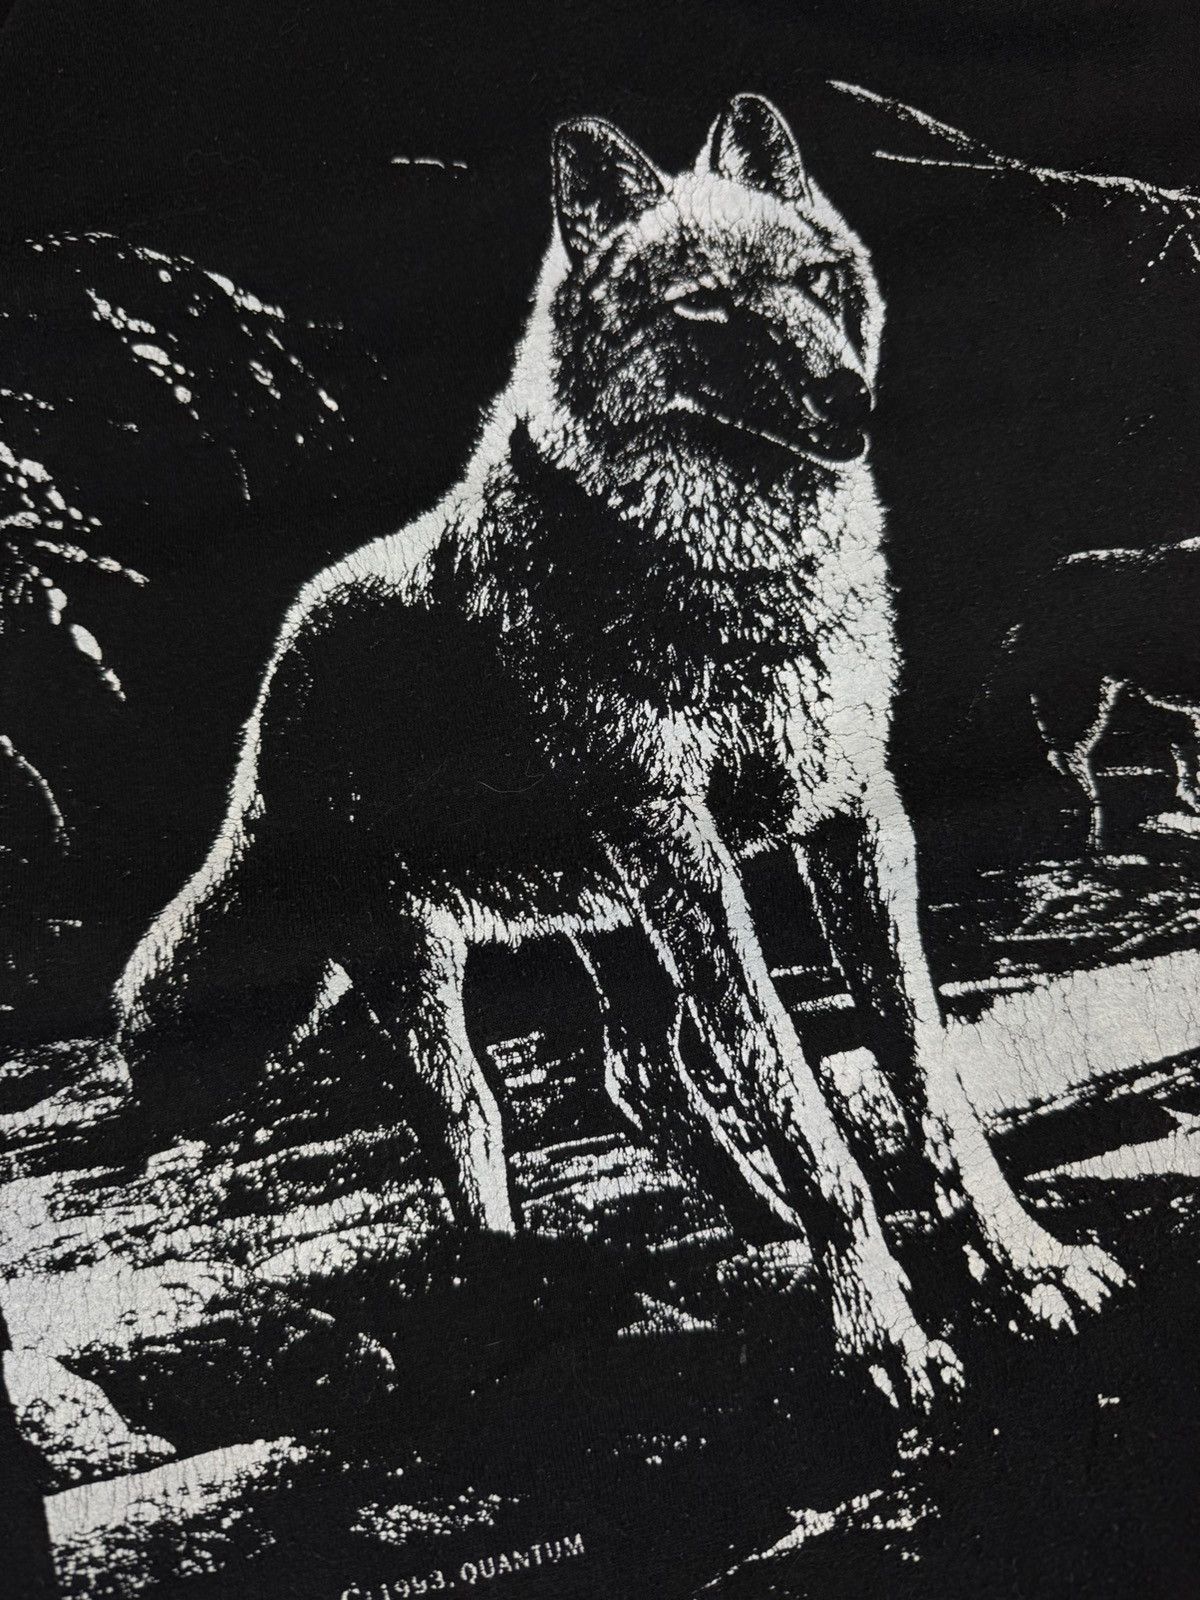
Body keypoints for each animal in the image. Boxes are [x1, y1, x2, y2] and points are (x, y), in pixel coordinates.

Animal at [115, 95, 1122, 1407]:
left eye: (816, 280)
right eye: (703, 307)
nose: (849, 399)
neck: (738, 590)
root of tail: (272, 690)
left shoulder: (851, 820)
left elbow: (931, 1086)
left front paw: (1028, 1265)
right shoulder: (688, 854)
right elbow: (802, 1108)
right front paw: (884, 1336)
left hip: (619, 917)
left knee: (633, 1074)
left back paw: (759, 1224)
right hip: (431, 963)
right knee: (471, 1119)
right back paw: (526, 1288)